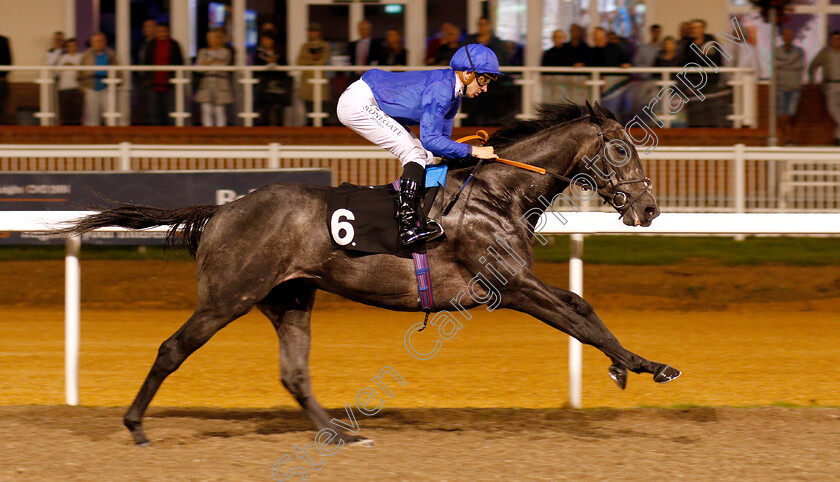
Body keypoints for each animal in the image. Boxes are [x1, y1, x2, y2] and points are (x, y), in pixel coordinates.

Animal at [55, 100, 680, 446]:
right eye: (620, 150)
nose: (649, 209)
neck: (497, 193)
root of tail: (221, 211)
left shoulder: (518, 283)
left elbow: (583, 307)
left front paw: (632, 366)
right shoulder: (509, 286)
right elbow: (579, 317)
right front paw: (645, 366)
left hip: (290, 298)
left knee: (294, 374)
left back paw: (338, 433)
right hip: (227, 297)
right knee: (171, 349)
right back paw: (135, 425)